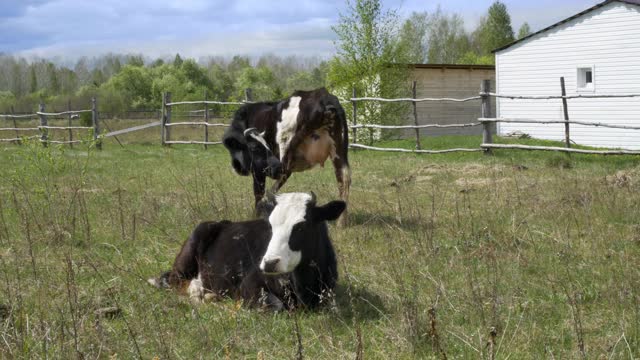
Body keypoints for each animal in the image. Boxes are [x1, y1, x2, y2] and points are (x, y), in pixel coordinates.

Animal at [148, 193, 344, 310]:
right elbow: (276, 306)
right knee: (176, 281)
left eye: (301, 227)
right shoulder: (248, 284)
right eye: (270, 226)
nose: (269, 263)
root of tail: (223, 222)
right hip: (188, 255)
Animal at [220, 88, 350, 225]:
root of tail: (322, 96)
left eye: (254, 148)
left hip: (285, 149)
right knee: (343, 179)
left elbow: (258, 192)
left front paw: (255, 215)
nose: (237, 167)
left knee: (281, 177)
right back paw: (341, 222)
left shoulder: (258, 169)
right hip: (339, 151)